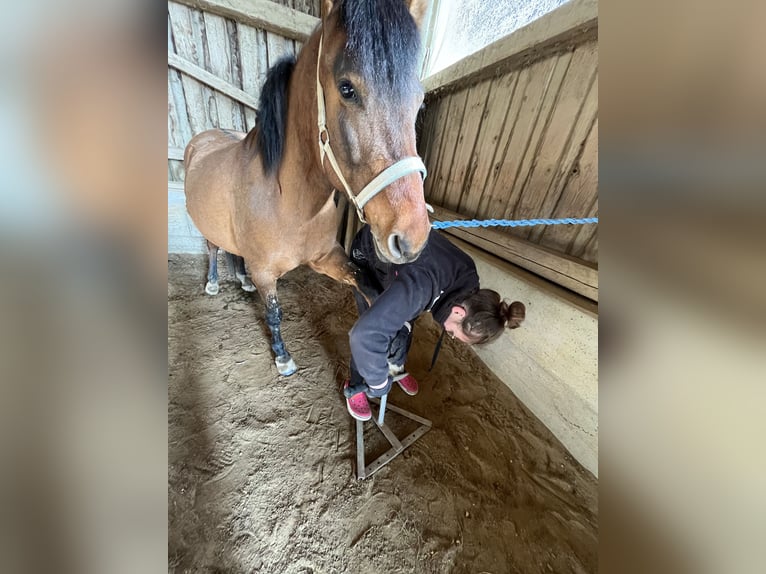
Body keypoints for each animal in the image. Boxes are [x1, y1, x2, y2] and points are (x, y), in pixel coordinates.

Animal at [185, 0, 432, 378]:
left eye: (419, 100)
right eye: (347, 88)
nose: (411, 237)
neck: (289, 203)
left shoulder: (327, 257)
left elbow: (369, 284)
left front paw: (395, 348)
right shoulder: (266, 274)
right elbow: (274, 313)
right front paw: (283, 357)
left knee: (231, 251)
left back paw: (240, 279)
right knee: (213, 248)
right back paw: (213, 282)